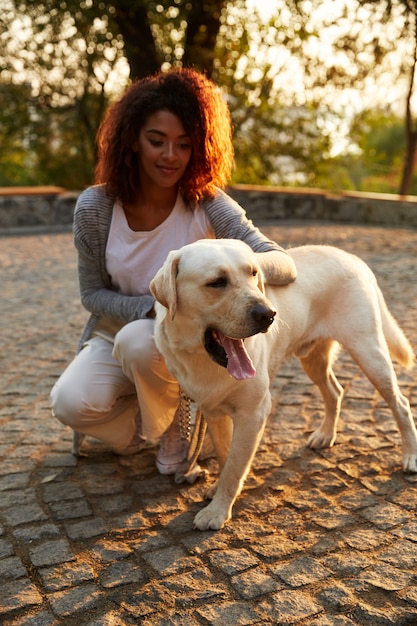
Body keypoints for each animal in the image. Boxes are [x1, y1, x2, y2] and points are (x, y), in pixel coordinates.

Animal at [150, 238, 416, 528]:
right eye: (217, 282)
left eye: (254, 274)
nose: (268, 314)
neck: (201, 358)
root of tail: (352, 257)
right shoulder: (213, 411)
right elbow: (225, 455)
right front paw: (218, 490)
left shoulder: (253, 414)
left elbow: (234, 467)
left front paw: (218, 510)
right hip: (313, 360)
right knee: (335, 391)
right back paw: (326, 435)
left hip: (369, 353)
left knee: (401, 403)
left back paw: (410, 456)